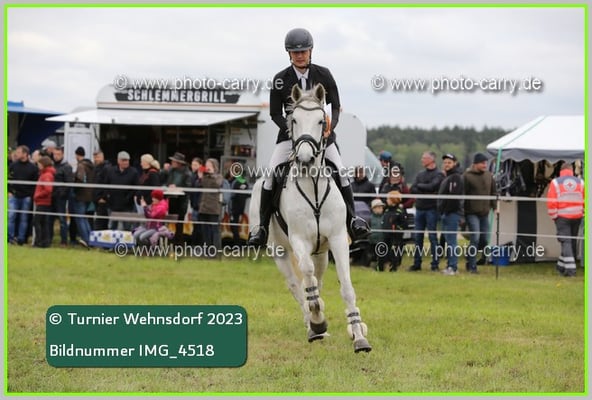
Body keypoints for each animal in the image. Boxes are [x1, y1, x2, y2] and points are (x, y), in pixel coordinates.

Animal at [249, 83, 372, 353]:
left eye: (320, 121)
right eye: (293, 119)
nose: (305, 159)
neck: (313, 185)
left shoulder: (337, 239)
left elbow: (346, 286)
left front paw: (358, 335)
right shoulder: (299, 240)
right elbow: (306, 277)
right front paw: (317, 320)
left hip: (322, 251)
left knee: (319, 278)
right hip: (280, 251)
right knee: (298, 285)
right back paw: (314, 326)